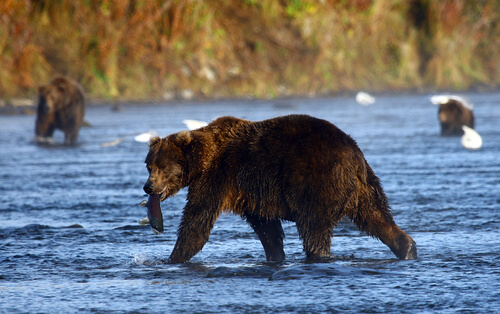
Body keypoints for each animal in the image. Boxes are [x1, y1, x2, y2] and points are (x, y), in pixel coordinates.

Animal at [142, 115, 418, 262]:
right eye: (148, 165)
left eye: (162, 166)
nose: (148, 187)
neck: (200, 160)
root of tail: (354, 153)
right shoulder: (252, 193)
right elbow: (267, 228)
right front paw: (275, 254)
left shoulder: (217, 176)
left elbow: (197, 221)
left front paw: (172, 258)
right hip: (365, 187)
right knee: (376, 216)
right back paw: (407, 247)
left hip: (315, 178)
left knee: (314, 226)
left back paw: (317, 255)